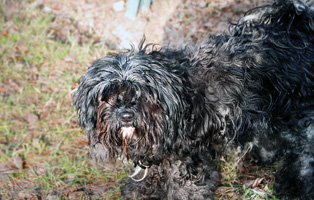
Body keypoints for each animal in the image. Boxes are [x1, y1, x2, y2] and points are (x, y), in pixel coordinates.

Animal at [73, 0, 314, 199]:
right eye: (107, 97)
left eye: (144, 94)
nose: (125, 115)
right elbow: (153, 172)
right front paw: (141, 189)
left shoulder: (189, 153)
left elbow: (186, 182)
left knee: (304, 154)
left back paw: (294, 188)